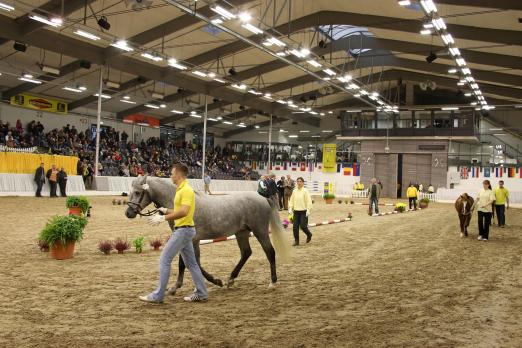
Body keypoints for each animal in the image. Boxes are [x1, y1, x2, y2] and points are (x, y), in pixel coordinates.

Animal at [124, 174, 290, 290]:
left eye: (138, 192)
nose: (128, 213)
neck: (181, 202)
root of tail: (262, 197)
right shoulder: (186, 239)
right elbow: (186, 263)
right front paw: (177, 285)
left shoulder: (192, 239)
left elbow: (190, 263)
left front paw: (215, 281)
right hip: (241, 233)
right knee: (246, 253)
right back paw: (231, 279)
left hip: (260, 231)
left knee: (270, 252)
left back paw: (272, 282)